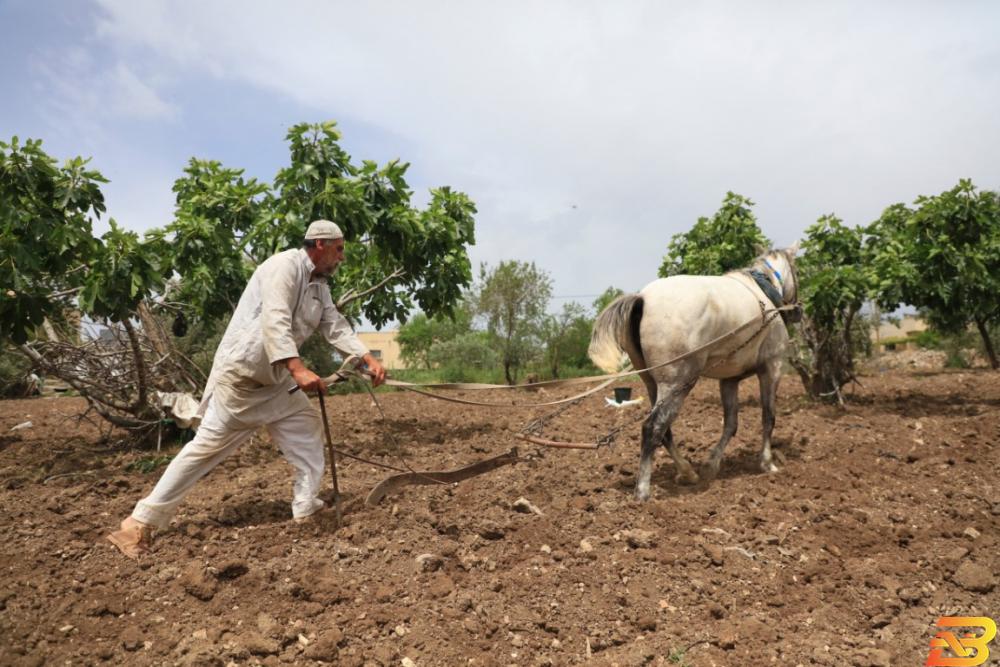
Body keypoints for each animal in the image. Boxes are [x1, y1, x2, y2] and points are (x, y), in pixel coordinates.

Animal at [588, 245, 800, 500]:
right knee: (653, 428)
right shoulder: (772, 368)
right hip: (678, 383)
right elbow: (768, 417)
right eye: (797, 270)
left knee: (665, 431)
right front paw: (767, 463)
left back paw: (687, 473)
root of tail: (642, 298)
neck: (765, 293)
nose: (797, 311)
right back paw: (642, 491)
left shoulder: (729, 380)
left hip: (653, 383)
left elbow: (731, 423)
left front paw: (711, 464)